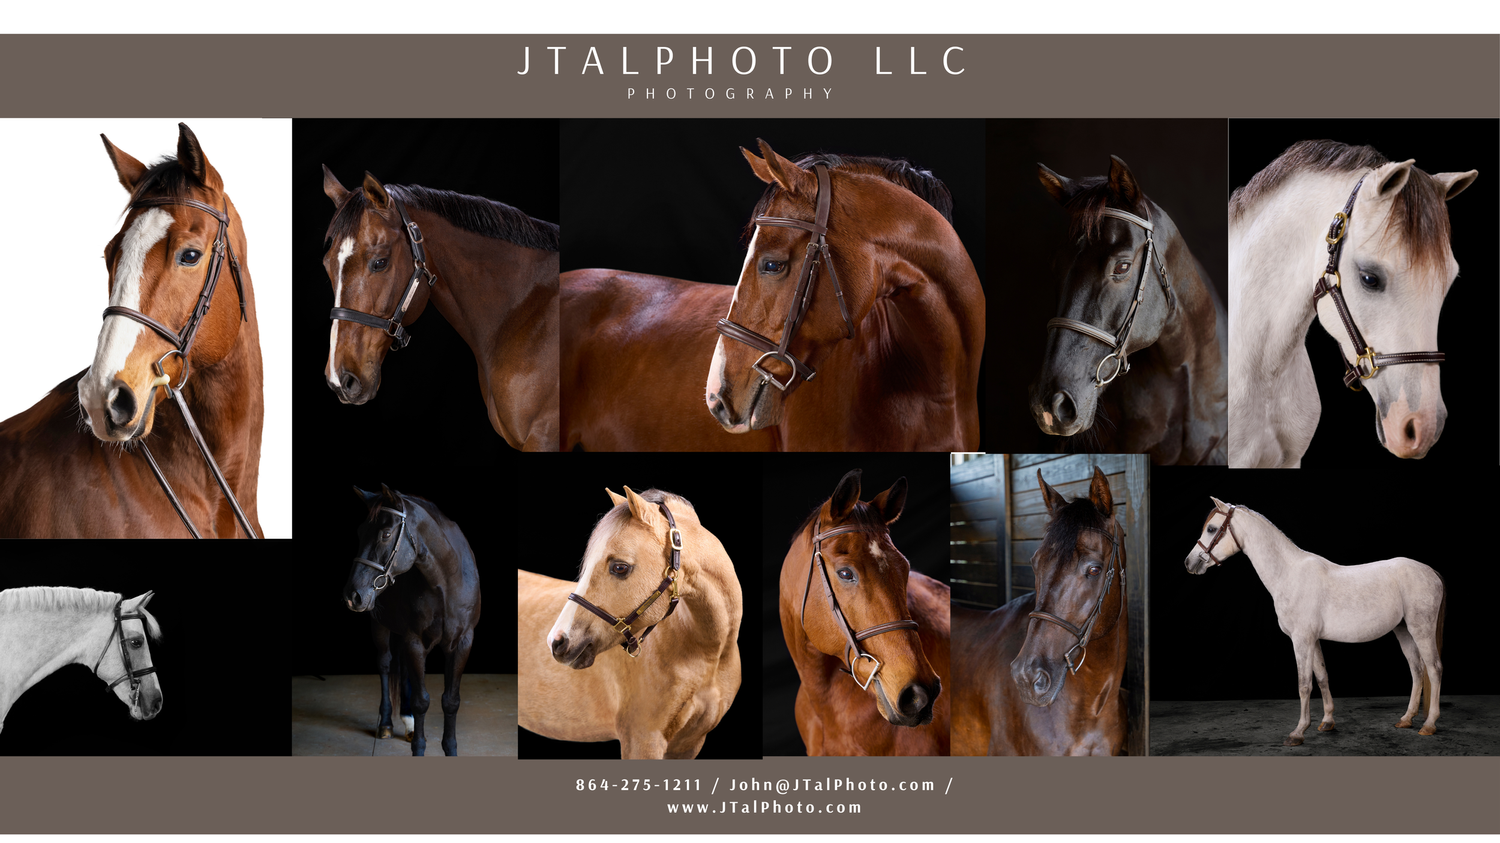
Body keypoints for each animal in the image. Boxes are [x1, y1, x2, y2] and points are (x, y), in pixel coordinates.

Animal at [342, 485, 481, 756]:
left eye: (386, 534)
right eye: (360, 532)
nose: (353, 595)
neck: (446, 582)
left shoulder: (462, 643)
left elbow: (451, 701)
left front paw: (450, 748)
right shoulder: (415, 641)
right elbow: (422, 701)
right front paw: (419, 746)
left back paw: (407, 723)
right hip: (381, 627)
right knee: (386, 665)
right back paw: (386, 723)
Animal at [1184, 499, 1446, 745]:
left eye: (1211, 528)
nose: (1189, 563)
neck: (1289, 574)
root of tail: (1431, 572)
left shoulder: (1301, 640)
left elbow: (1304, 684)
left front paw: (1298, 732)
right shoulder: (1313, 640)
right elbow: (1321, 677)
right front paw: (1327, 721)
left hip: (1421, 630)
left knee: (1433, 669)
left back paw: (1429, 724)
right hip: (1403, 630)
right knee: (1416, 669)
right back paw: (1406, 719)